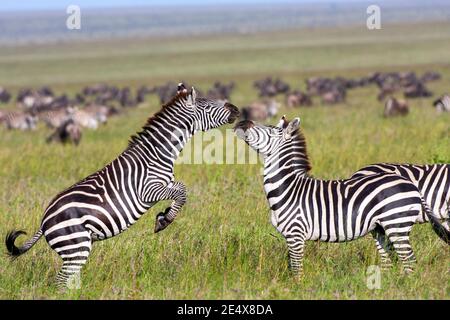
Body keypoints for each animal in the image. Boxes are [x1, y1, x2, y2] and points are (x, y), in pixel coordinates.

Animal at [5, 84, 241, 288]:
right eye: (208, 106)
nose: (236, 109)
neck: (157, 153)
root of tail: (44, 221)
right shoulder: (148, 190)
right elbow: (182, 193)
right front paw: (164, 221)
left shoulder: (166, 183)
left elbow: (182, 189)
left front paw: (163, 215)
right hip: (76, 244)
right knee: (63, 280)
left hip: (75, 248)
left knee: (69, 278)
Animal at [236, 116, 450, 276]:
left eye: (270, 131)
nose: (242, 122)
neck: (288, 188)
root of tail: (412, 185)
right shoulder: (291, 236)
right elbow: (292, 266)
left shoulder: (296, 234)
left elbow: (296, 270)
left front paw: (295, 289)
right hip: (380, 228)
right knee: (391, 260)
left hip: (396, 224)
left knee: (409, 260)